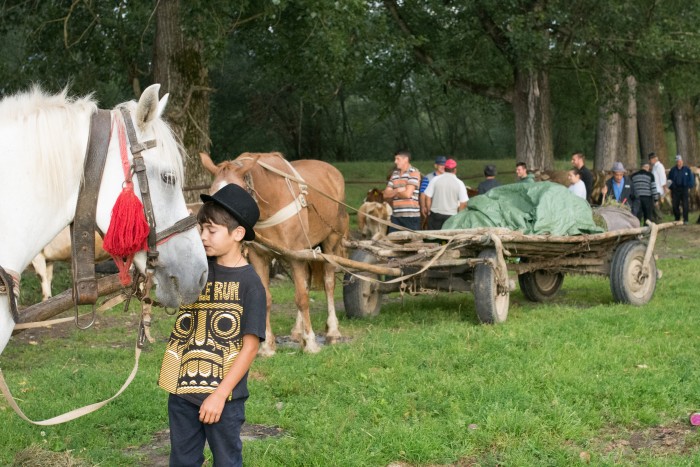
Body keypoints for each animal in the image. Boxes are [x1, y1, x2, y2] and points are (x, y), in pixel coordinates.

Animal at [200, 152, 348, 356]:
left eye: (237, 194)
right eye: (213, 193)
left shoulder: (295, 257)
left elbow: (302, 299)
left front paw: (310, 343)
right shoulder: (259, 256)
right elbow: (268, 299)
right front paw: (266, 347)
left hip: (331, 241)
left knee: (329, 282)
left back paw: (333, 331)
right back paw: (297, 331)